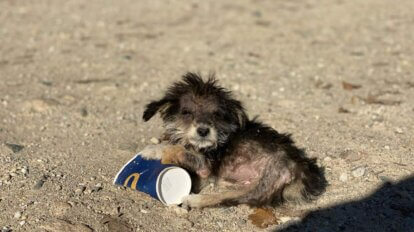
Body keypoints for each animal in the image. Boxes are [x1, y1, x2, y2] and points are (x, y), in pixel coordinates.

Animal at [142, 71, 326, 208]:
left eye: (216, 114)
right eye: (186, 112)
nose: (203, 130)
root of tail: (301, 168)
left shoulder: (205, 166)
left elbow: (177, 148)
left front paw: (152, 151)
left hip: (265, 181)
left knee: (230, 198)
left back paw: (195, 200)